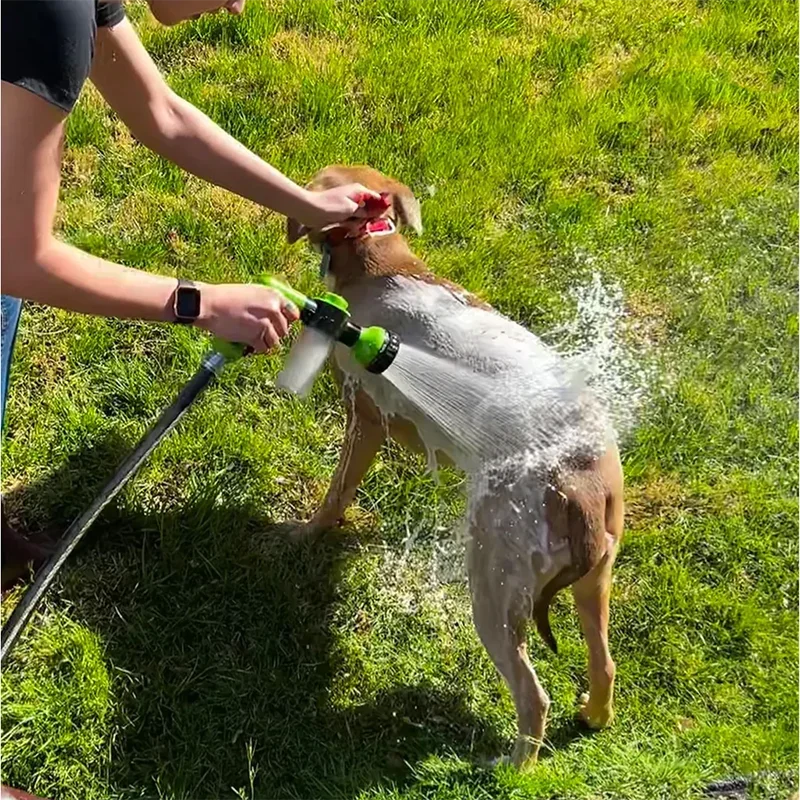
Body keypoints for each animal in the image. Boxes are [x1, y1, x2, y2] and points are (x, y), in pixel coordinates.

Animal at [288, 164, 624, 768]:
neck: (382, 264)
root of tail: (581, 488)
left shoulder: (364, 419)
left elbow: (335, 496)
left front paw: (303, 534)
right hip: (595, 579)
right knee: (604, 663)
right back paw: (592, 715)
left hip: (494, 589)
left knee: (533, 695)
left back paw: (512, 769)